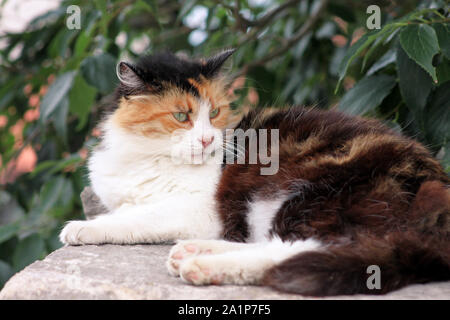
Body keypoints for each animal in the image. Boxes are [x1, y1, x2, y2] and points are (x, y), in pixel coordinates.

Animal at [59, 48, 450, 296]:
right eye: (181, 116)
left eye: (214, 113)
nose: (206, 139)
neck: (149, 156)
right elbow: (127, 208)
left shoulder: (199, 208)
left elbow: (138, 217)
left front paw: (81, 227)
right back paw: (196, 252)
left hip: (314, 198)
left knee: (313, 248)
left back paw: (202, 265)